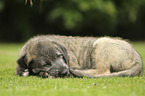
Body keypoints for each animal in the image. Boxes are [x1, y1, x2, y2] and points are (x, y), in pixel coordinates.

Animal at [15, 35, 143, 78]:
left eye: (60, 56)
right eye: (46, 64)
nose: (64, 71)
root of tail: (139, 62)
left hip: (101, 43)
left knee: (103, 71)